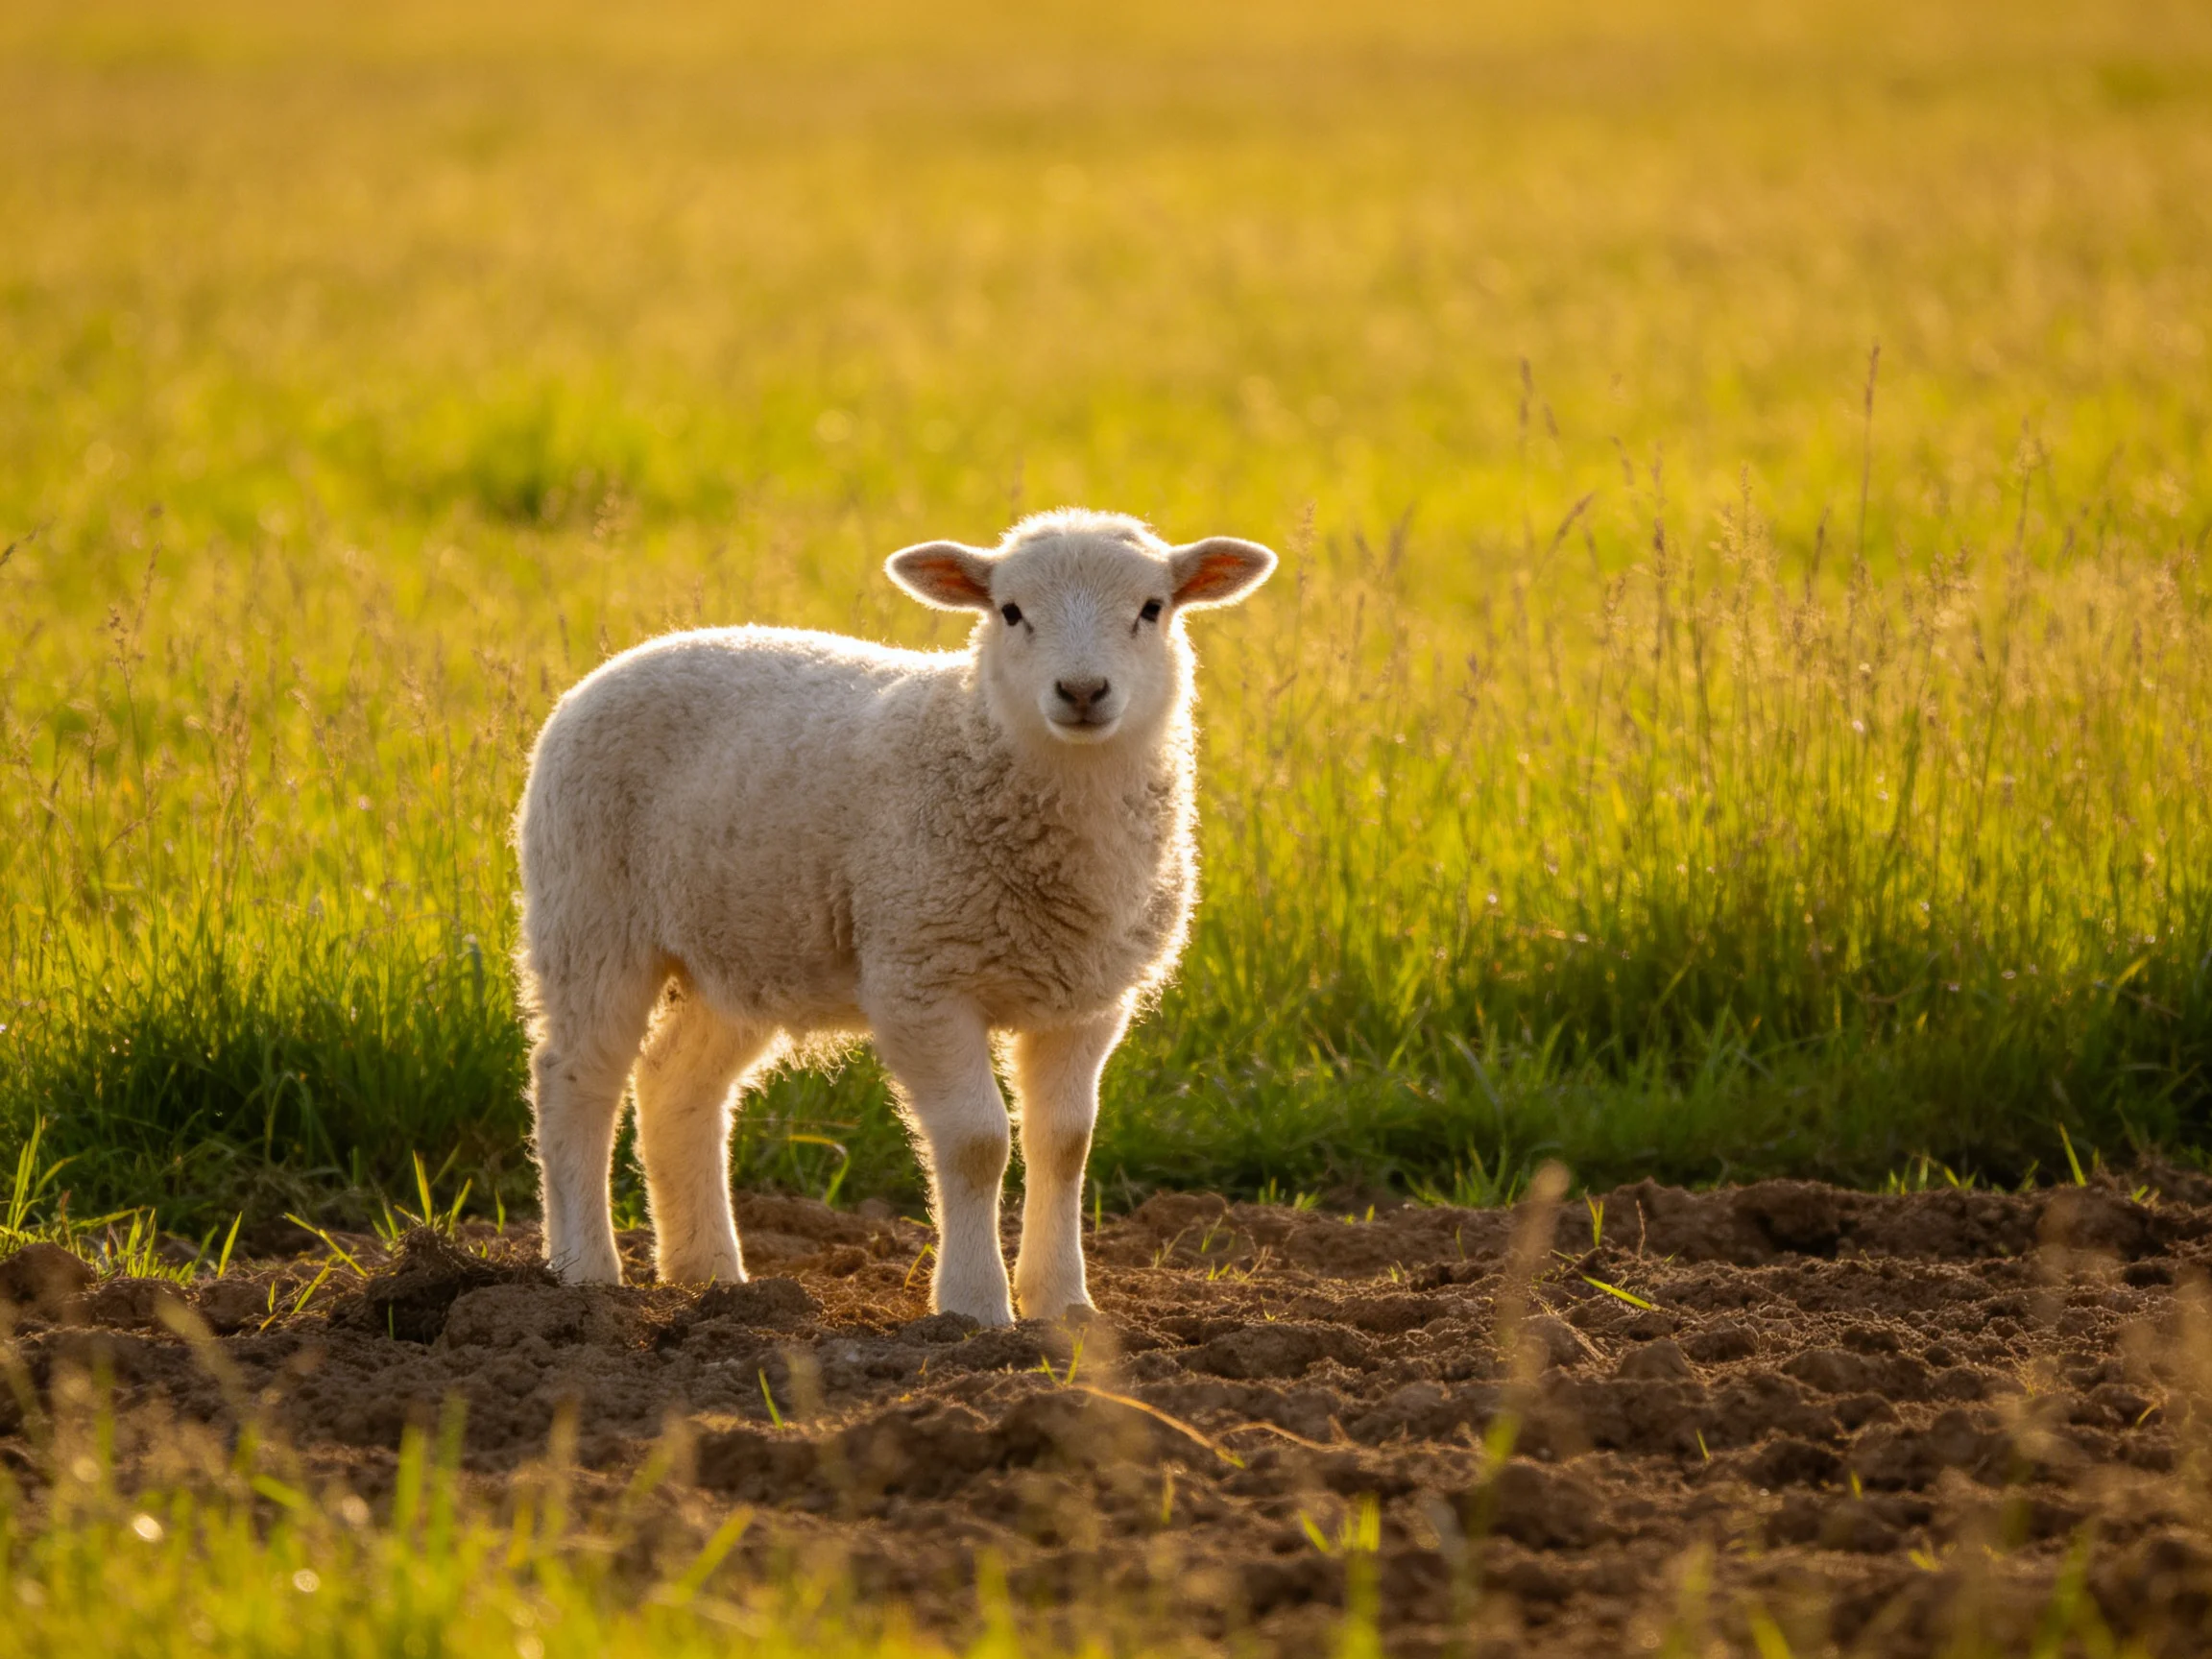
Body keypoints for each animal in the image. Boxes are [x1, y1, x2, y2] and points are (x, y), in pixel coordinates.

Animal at [513, 507, 1276, 1325]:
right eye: (1010, 611)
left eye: (1152, 609)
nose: (1081, 690)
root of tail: (628, 656)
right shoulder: (922, 978)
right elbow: (978, 1142)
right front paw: (975, 1308)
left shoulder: (1088, 1000)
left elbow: (1065, 1141)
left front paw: (1064, 1306)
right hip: (590, 912)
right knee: (574, 1079)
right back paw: (586, 1272)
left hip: (744, 947)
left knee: (673, 1083)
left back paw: (710, 1273)